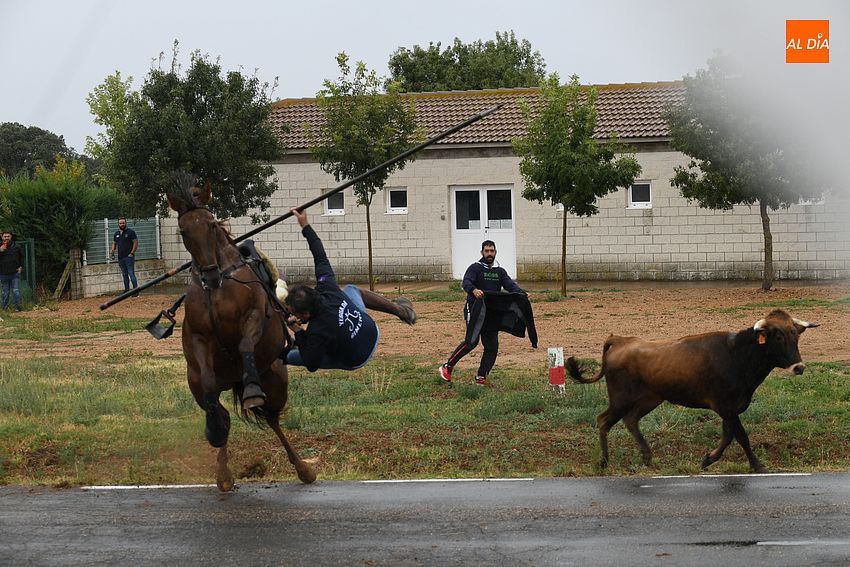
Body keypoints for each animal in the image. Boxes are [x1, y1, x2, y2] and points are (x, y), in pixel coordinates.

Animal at [166, 172, 315, 492]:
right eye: (184, 231)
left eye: (211, 224)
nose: (210, 273)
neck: (218, 288)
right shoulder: (199, 339)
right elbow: (209, 383)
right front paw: (214, 431)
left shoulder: (254, 317)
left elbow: (246, 344)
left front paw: (252, 391)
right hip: (196, 387)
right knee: (219, 411)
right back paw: (222, 467)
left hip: (276, 382)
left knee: (272, 418)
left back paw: (302, 468)